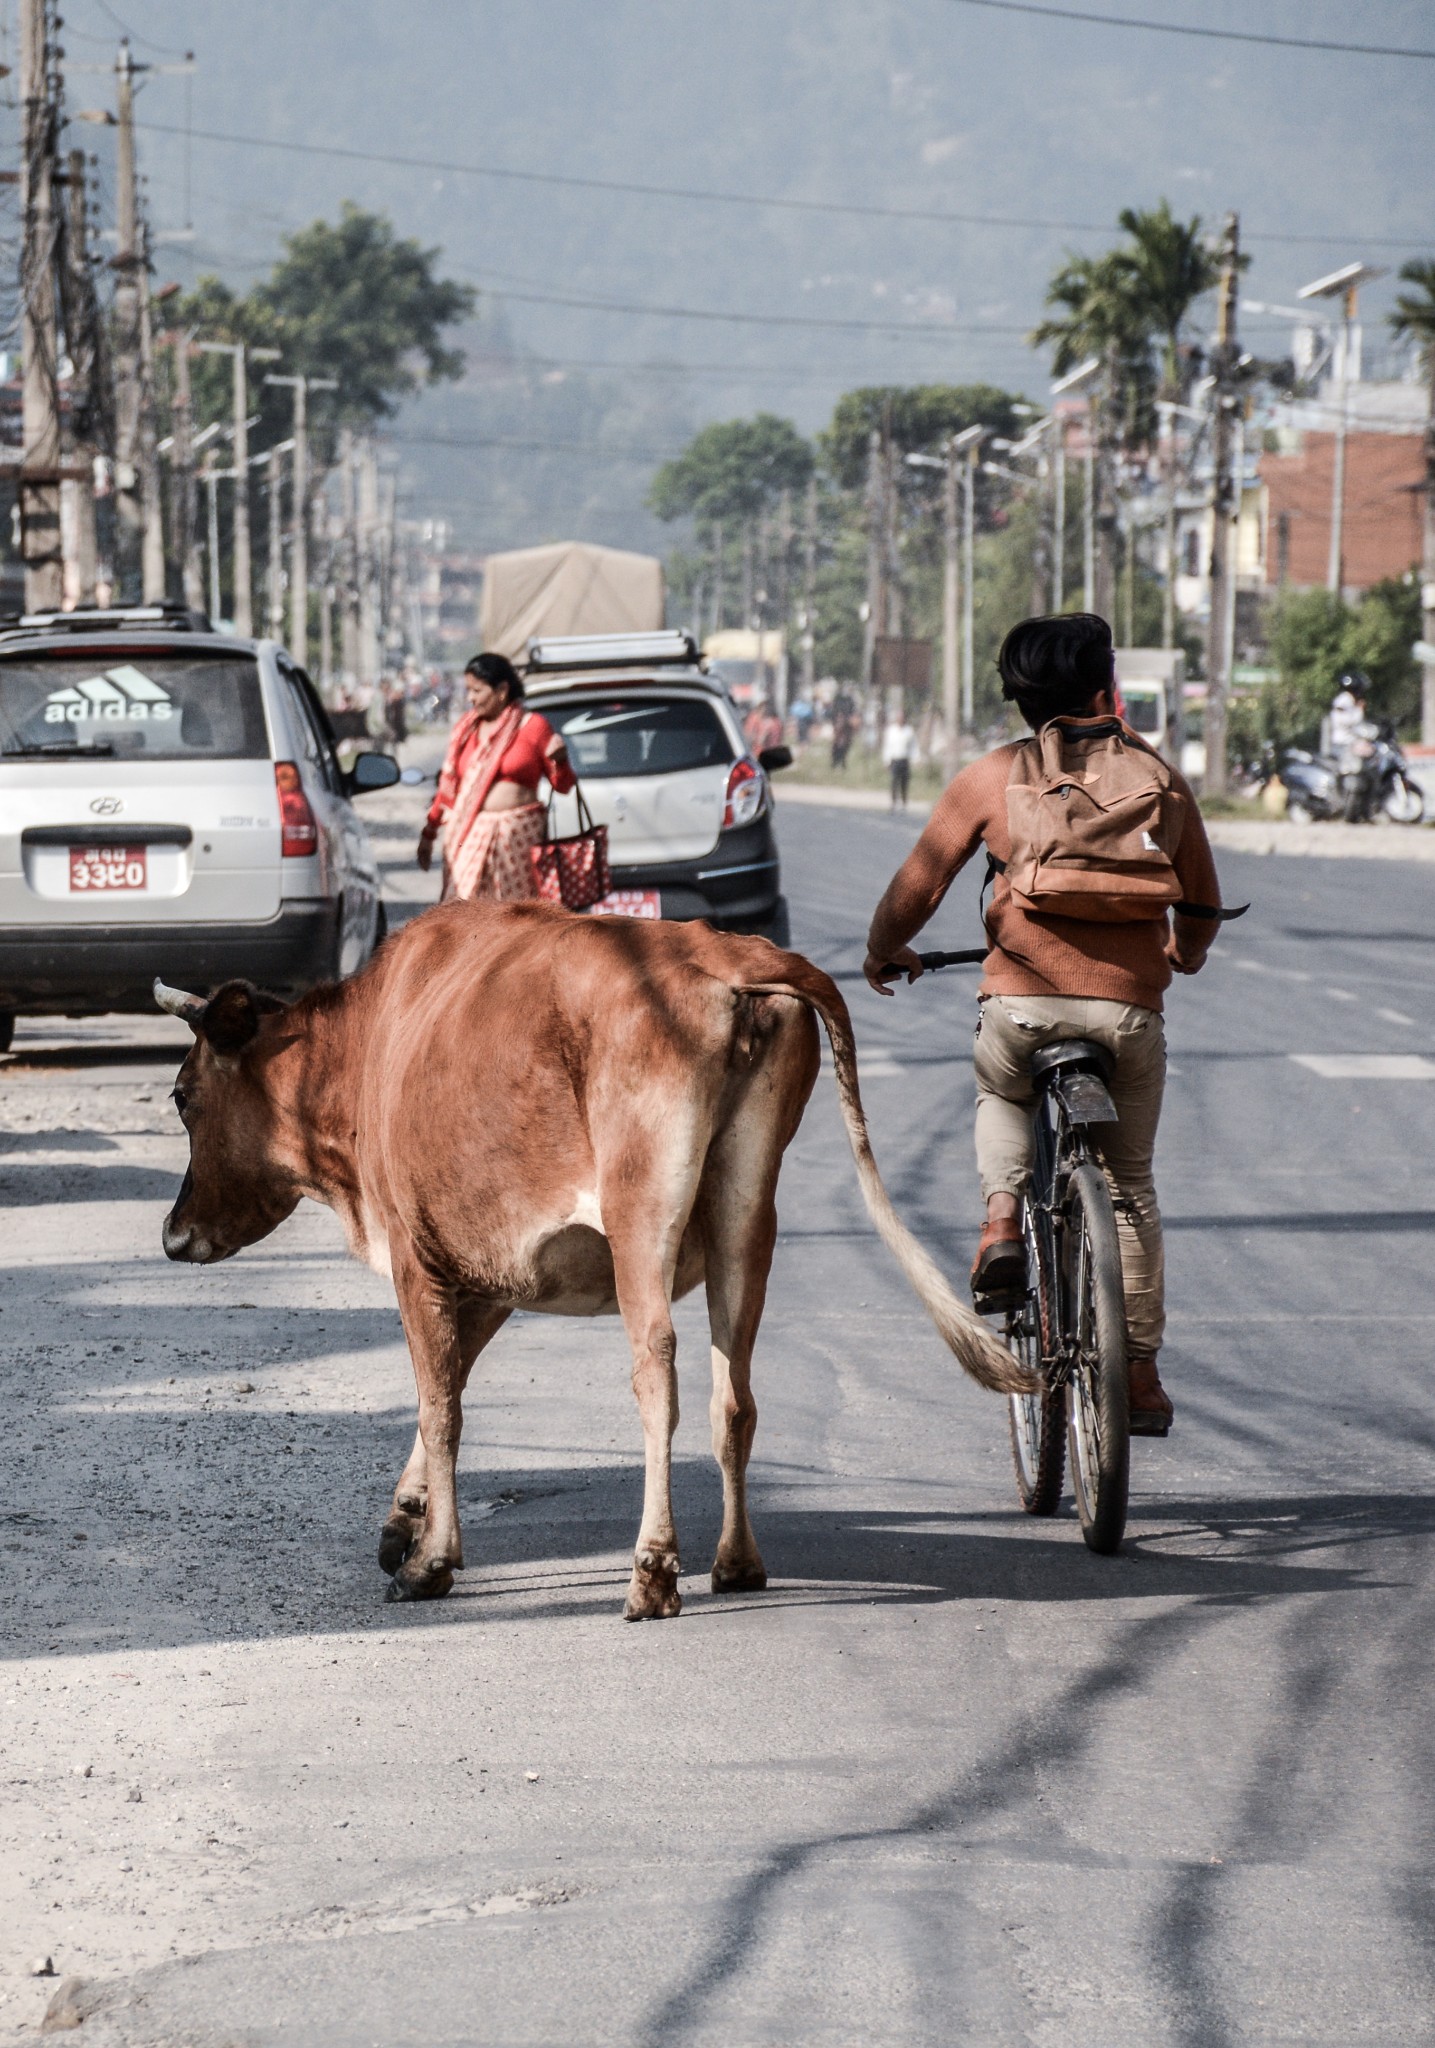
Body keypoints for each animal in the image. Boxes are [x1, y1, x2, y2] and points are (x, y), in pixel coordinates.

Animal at [156, 905, 1023, 1622]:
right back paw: (735, 1562)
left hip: (640, 1206)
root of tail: (730, 956)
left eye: (182, 1095)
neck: (367, 1046)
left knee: (657, 1370)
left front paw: (432, 1561)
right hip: (747, 1210)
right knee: (734, 1393)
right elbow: (452, 1381)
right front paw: (403, 1519)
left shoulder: (418, 1257)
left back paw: (652, 1571)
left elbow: (440, 1404)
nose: (171, 1236)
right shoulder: (494, 1273)